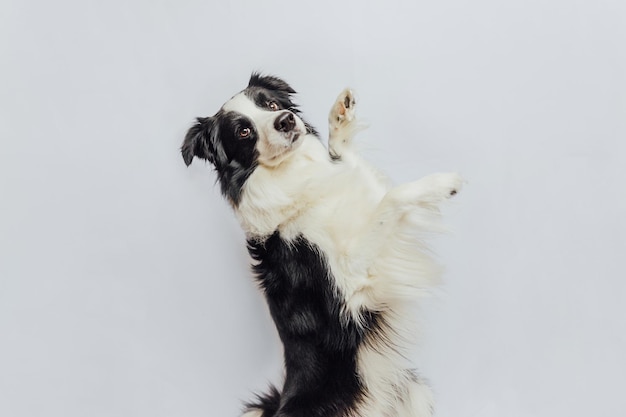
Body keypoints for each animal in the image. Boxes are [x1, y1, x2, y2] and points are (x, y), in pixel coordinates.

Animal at [182, 75, 464, 416]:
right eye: (243, 131)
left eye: (271, 104)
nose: (286, 120)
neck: (289, 176)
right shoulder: (352, 288)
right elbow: (390, 200)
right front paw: (442, 183)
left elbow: (350, 164)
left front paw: (340, 115)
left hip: (414, 391)